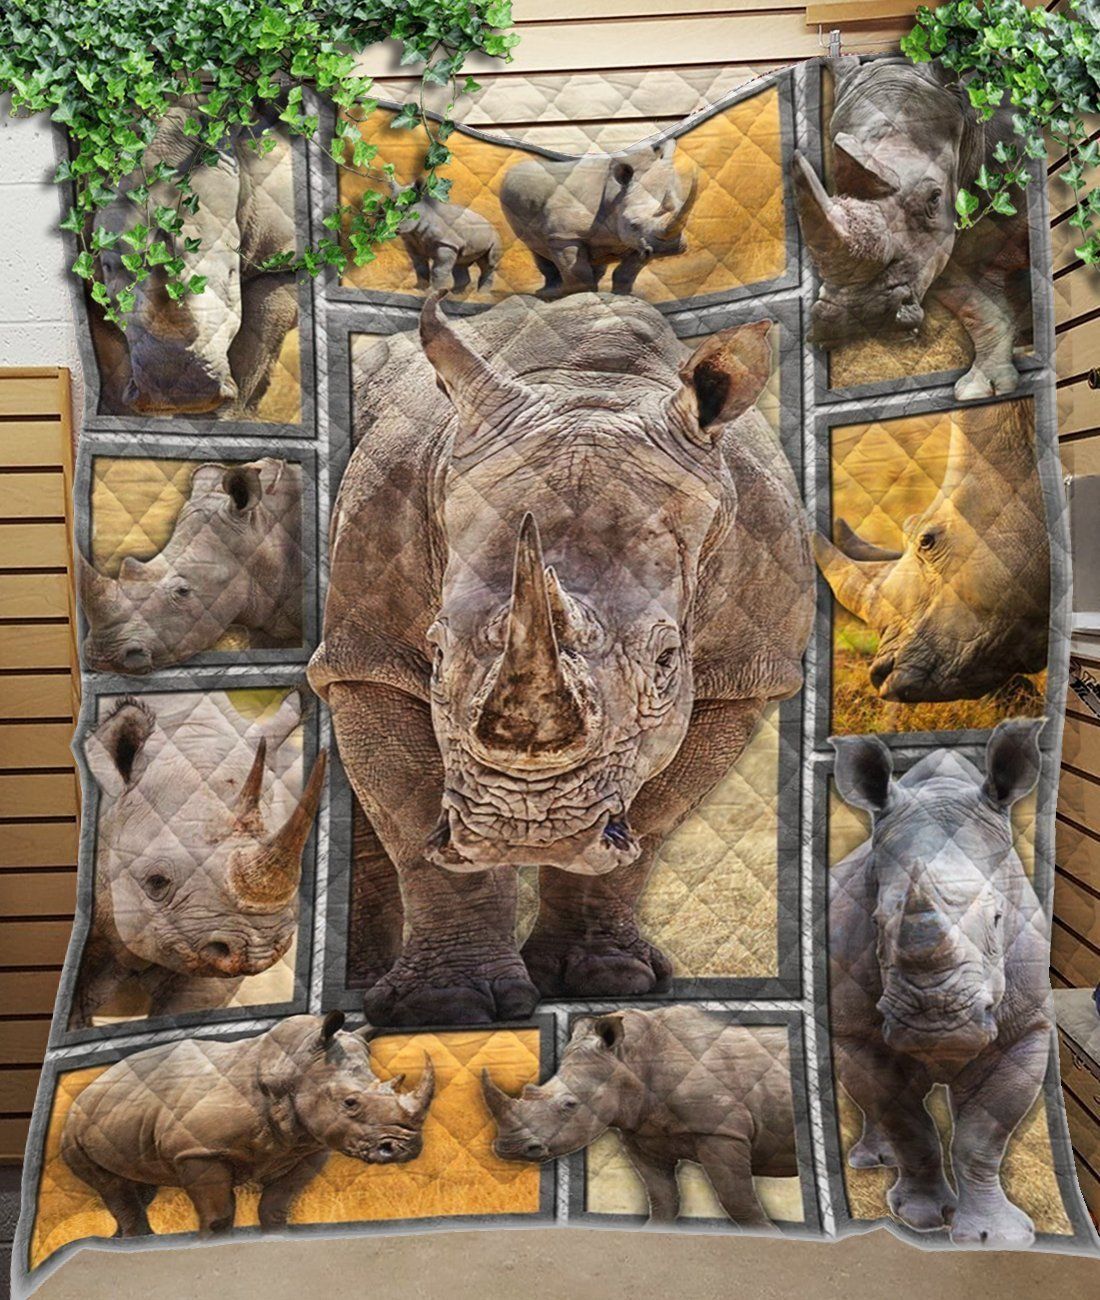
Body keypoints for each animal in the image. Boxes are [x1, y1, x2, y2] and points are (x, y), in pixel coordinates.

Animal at [61, 1011, 434, 1236]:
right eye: (350, 1103)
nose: (405, 1148)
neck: (292, 1068)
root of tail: (92, 1085)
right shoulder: (197, 1150)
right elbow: (218, 1217)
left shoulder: (308, 1149)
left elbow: (277, 1206)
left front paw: (277, 1236)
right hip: (73, 1127)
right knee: (113, 1187)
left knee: (138, 1186)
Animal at [308, 290, 813, 1025]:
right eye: (436, 651)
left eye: (668, 661)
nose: (527, 832)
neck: (594, 392)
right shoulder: (366, 652)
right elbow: (409, 816)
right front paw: (447, 1010)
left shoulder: (742, 674)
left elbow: (651, 825)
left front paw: (605, 980)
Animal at [482, 1006, 797, 1228]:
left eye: (569, 1104)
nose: (510, 1148)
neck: (628, 1060)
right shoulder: (642, 1134)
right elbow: (662, 1200)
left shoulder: (721, 1129)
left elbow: (738, 1202)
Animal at [499, 140, 698, 296]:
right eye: (633, 224)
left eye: (683, 217)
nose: (668, 248)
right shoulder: (564, 235)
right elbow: (578, 273)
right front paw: (581, 296)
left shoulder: (641, 243)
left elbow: (627, 271)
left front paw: (621, 294)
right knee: (534, 245)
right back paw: (548, 293)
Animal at [830, 718, 1053, 1247]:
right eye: (876, 922)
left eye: (998, 919)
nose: (936, 1025)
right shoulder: (857, 1028)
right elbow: (908, 1124)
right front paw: (923, 1218)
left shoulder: (1026, 1028)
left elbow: (981, 1138)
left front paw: (998, 1238)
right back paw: (872, 1162)